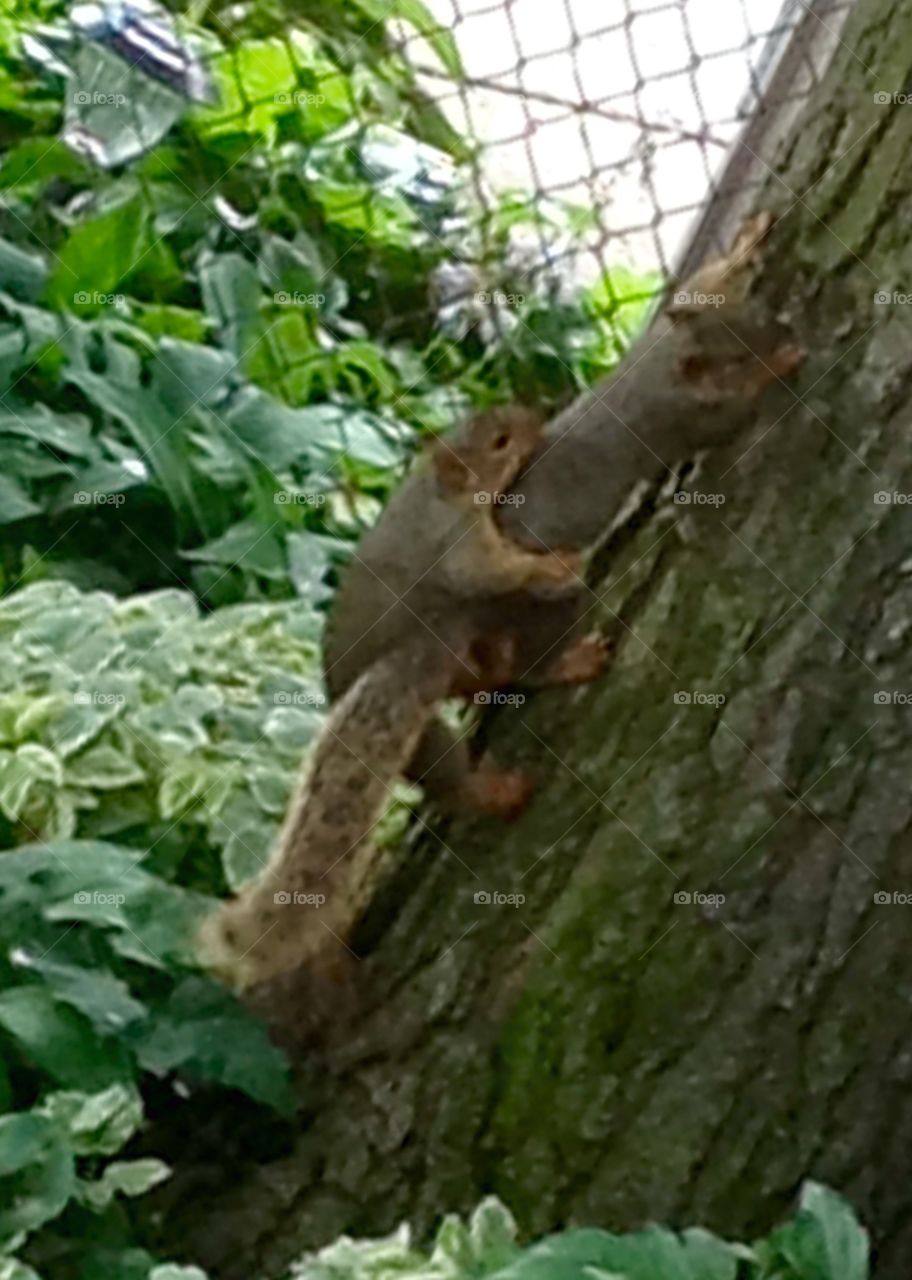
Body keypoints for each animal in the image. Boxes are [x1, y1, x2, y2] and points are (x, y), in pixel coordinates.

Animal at [199, 407, 608, 990]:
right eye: (500, 441)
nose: (535, 418)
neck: (431, 491)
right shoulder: (460, 548)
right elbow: (498, 570)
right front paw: (554, 565)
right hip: (431, 719)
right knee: (458, 764)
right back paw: (501, 783)